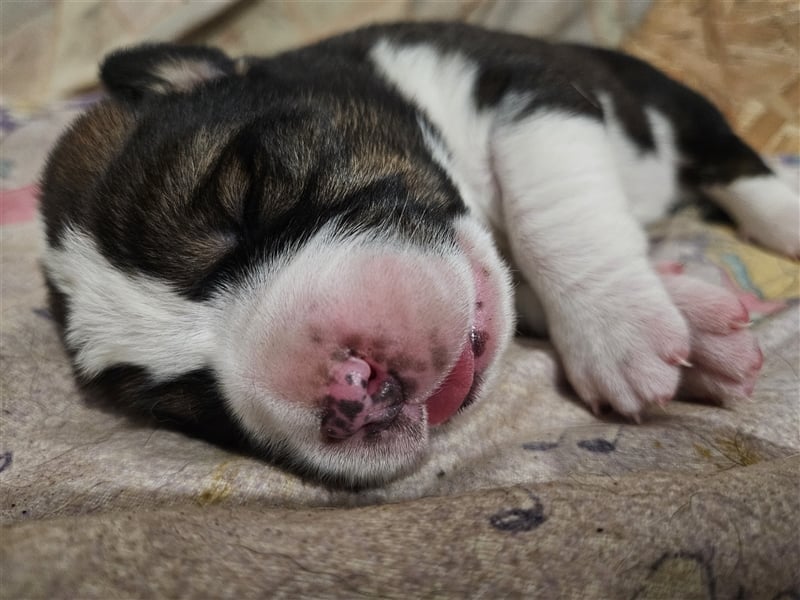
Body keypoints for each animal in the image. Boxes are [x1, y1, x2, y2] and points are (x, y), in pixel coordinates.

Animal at [40, 21, 796, 488]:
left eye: (247, 198)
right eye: (189, 406)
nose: (346, 388)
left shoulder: (526, 85)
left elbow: (546, 202)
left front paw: (620, 331)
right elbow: (522, 286)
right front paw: (698, 329)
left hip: (664, 97)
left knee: (732, 158)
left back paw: (784, 213)